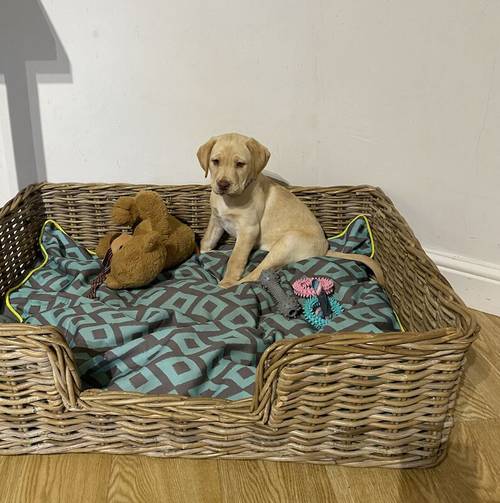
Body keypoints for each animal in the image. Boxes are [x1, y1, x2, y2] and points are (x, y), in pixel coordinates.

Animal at [196, 132, 382, 290]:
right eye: (215, 161)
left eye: (240, 164)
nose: (223, 184)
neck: (229, 199)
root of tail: (324, 249)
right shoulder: (216, 220)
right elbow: (207, 240)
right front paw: (201, 252)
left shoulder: (248, 230)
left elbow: (235, 258)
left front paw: (227, 281)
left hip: (287, 242)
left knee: (256, 275)